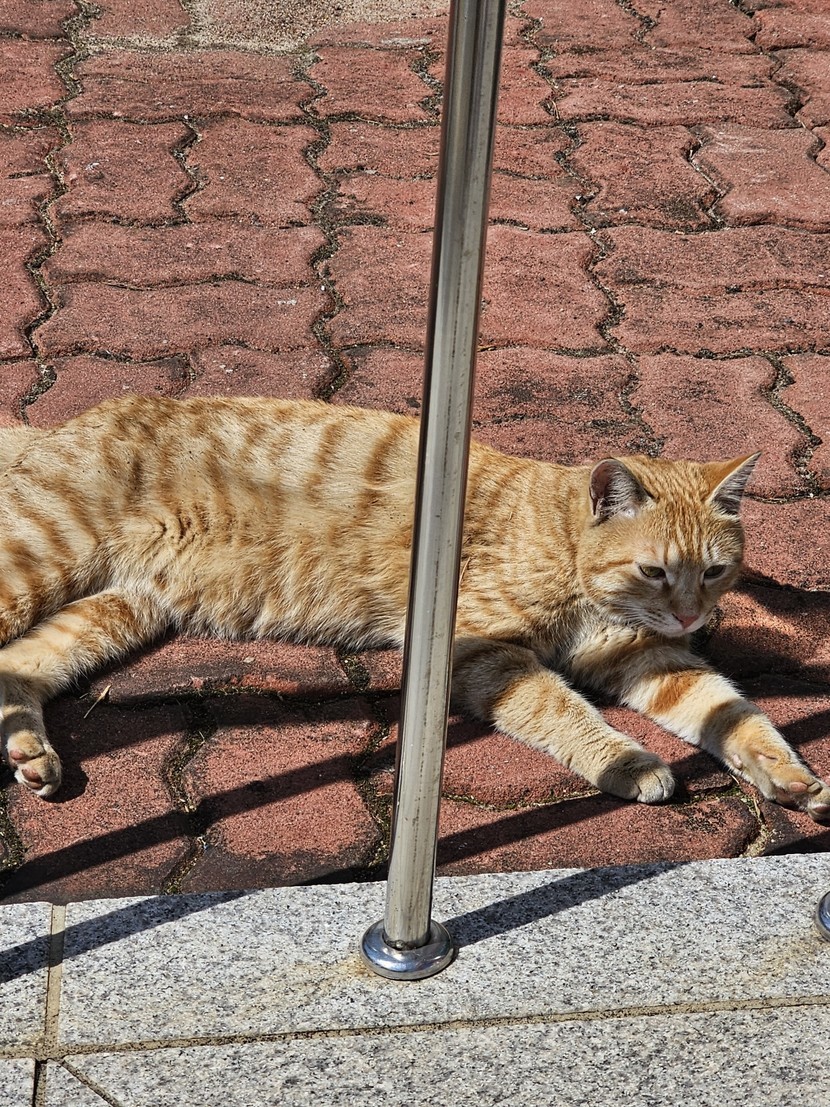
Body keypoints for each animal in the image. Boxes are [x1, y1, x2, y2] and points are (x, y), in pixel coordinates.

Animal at [0, 394, 828, 822]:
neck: (563, 541)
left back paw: (29, 751)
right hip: (37, 563)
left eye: (716, 572)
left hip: (113, 609)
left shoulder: (649, 655)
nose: (690, 617)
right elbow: (562, 710)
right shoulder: (479, 648)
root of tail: (58, 427)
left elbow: (729, 709)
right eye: (655, 570)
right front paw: (626, 760)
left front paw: (785, 772)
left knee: (17, 667)